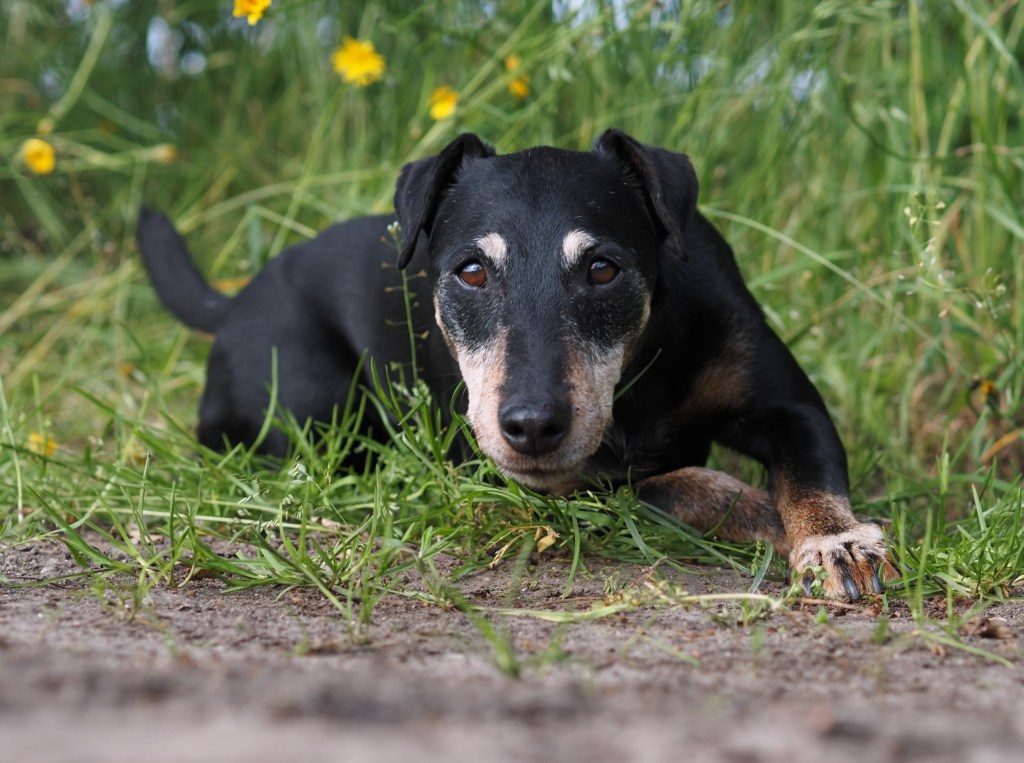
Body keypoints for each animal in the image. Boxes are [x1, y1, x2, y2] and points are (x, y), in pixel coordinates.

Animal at [137, 129, 895, 599]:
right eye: (471, 270)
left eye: (602, 267)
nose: (532, 425)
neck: (639, 376)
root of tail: (230, 304)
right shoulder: (542, 480)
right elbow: (683, 484)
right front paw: (760, 511)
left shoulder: (788, 404)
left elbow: (810, 474)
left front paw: (835, 542)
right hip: (309, 406)